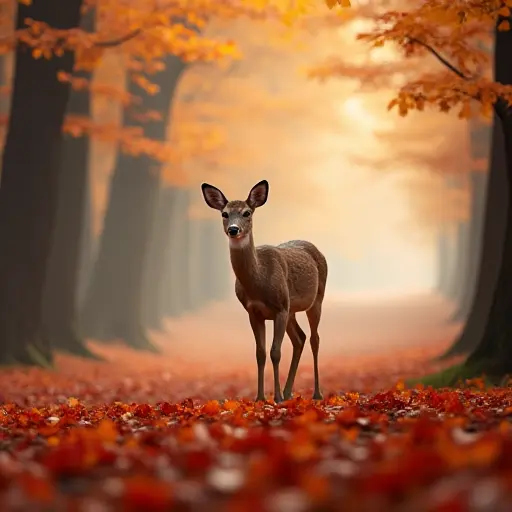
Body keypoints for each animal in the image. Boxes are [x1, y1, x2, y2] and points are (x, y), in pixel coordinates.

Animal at [200, 180, 328, 404]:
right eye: (224, 213)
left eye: (247, 212)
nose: (233, 229)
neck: (259, 283)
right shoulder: (254, 312)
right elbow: (260, 353)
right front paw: (260, 398)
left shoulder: (280, 308)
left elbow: (275, 352)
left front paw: (276, 397)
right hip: (291, 309)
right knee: (300, 338)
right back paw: (289, 392)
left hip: (316, 299)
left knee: (315, 339)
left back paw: (316, 393)